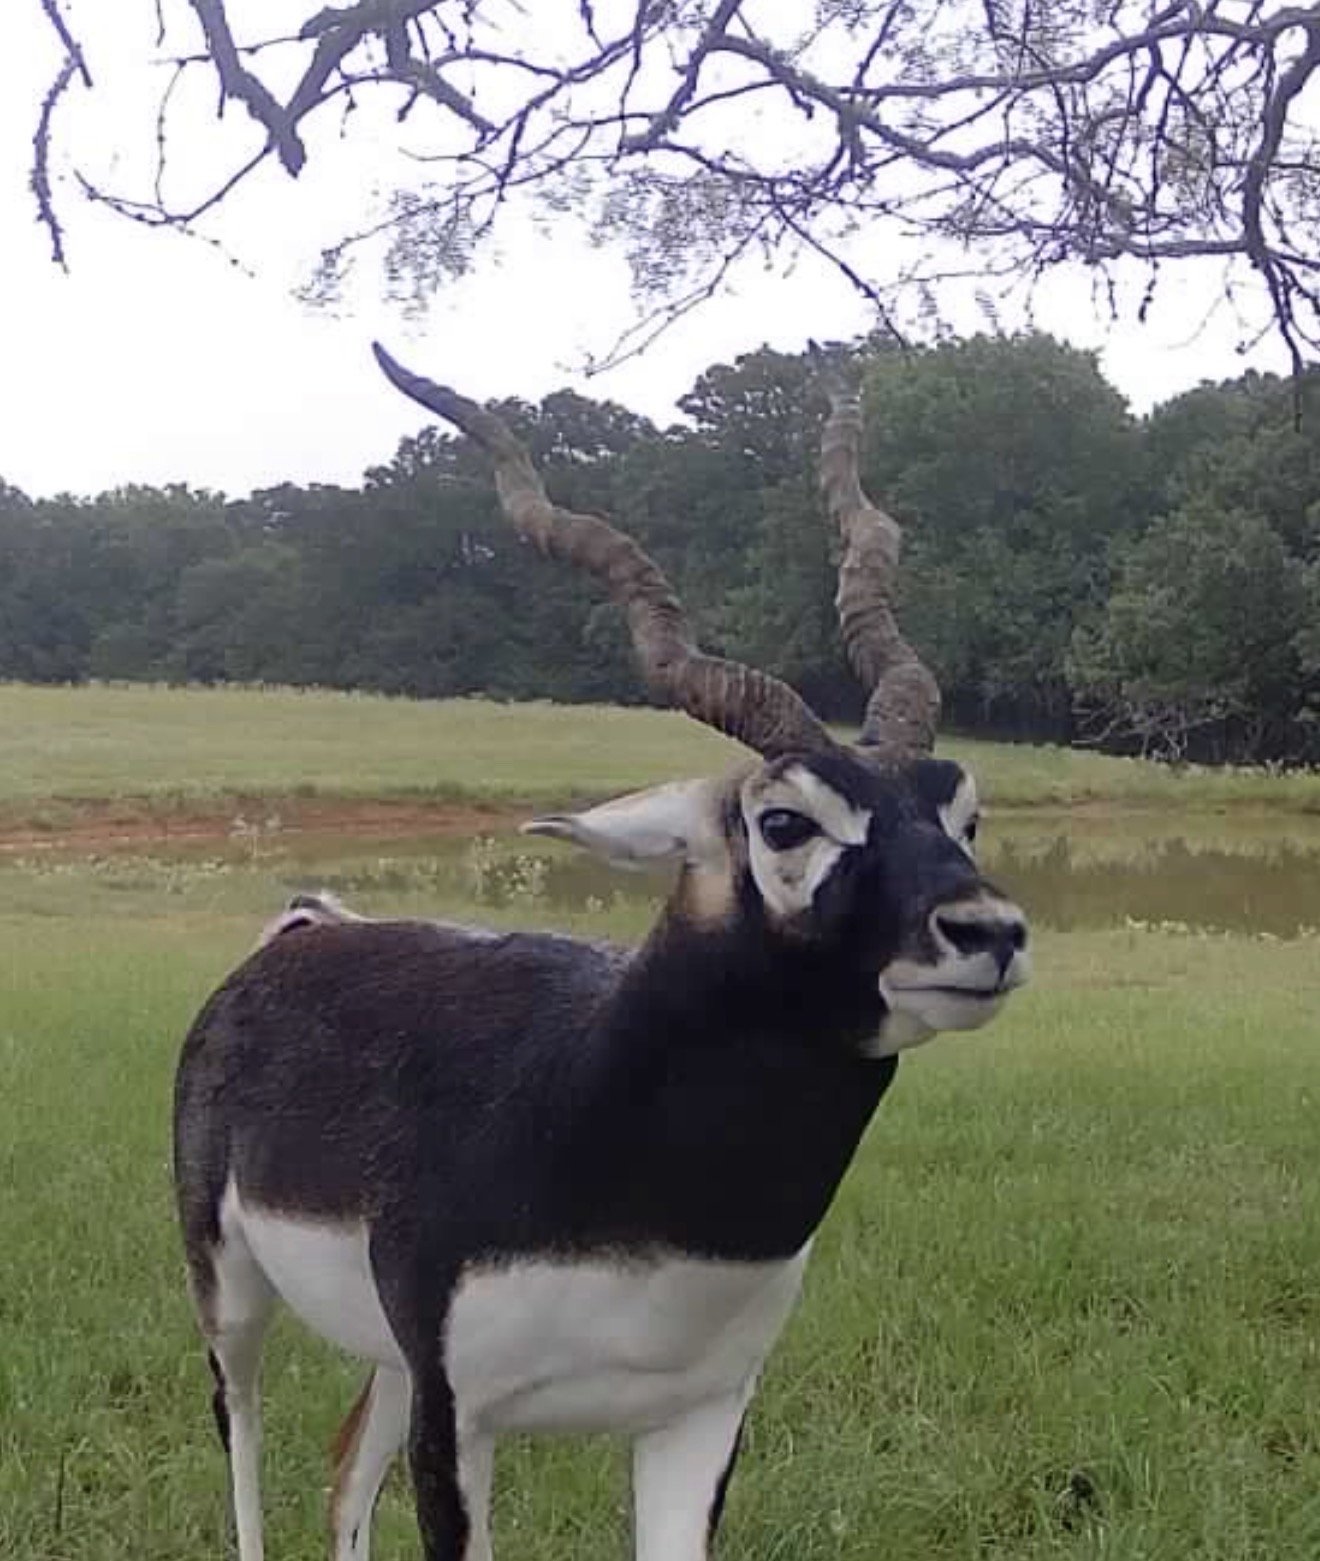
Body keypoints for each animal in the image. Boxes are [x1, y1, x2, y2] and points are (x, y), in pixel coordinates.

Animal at [173, 346, 1030, 1561]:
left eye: (963, 815)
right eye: (784, 822)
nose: (988, 933)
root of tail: (302, 928)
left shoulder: (698, 1417)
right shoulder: (461, 1420)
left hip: (389, 1356)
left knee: (343, 1477)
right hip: (231, 1292)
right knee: (244, 1439)